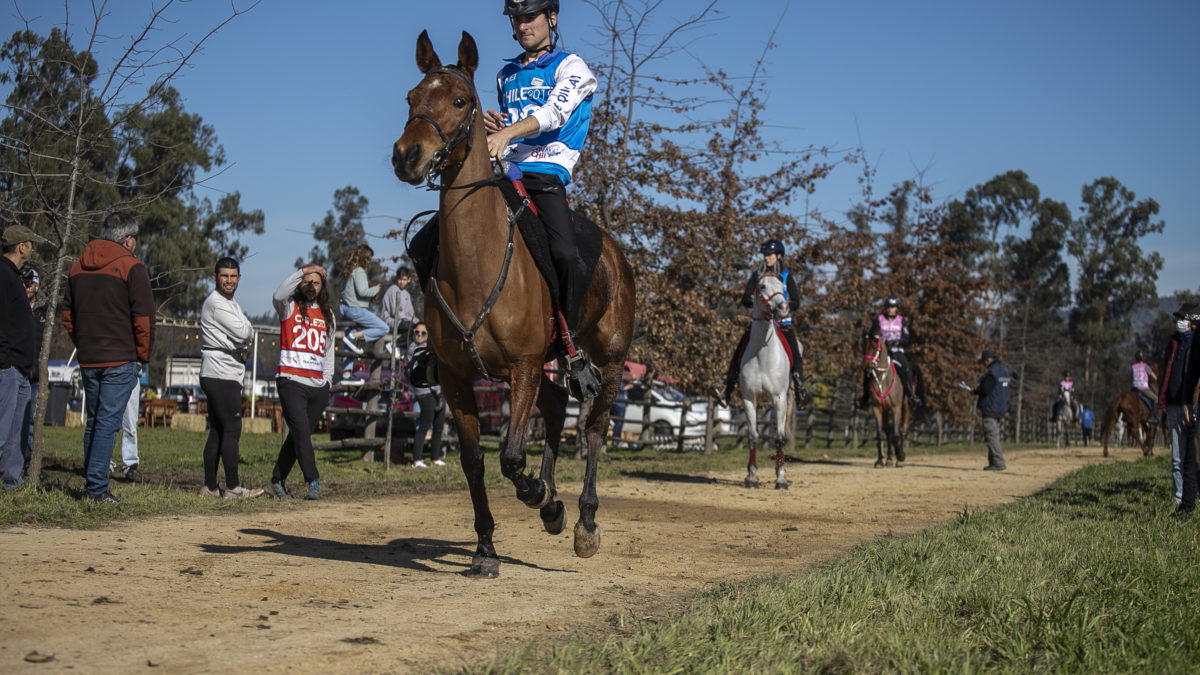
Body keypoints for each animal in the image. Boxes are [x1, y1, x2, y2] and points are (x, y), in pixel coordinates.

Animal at [391, 31, 638, 576]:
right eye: (411, 98)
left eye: (460, 101)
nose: (407, 155)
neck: (476, 263)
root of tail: (614, 252)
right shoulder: (459, 377)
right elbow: (475, 461)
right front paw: (487, 547)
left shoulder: (523, 365)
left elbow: (510, 457)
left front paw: (540, 496)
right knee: (557, 406)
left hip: (608, 361)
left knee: (594, 428)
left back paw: (584, 522)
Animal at [739, 270, 796, 485]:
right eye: (762, 286)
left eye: (782, 286)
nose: (783, 307)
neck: (762, 355)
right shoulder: (749, 398)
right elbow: (753, 436)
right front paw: (751, 476)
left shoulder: (778, 398)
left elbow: (779, 438)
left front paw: (781, 479)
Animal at [864, 329, 907, 466]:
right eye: (863, 346)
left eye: (874, 347)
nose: (866, 367)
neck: (882, 379)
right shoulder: (877, 408)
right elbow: (880, 434)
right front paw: (879, 461)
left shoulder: (896, 408)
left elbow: (896, 435)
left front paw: (900, 456)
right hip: (885, 410)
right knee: (888, 432)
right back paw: (888, 459)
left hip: (905, 406)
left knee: (902, 429)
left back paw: (899, 457)